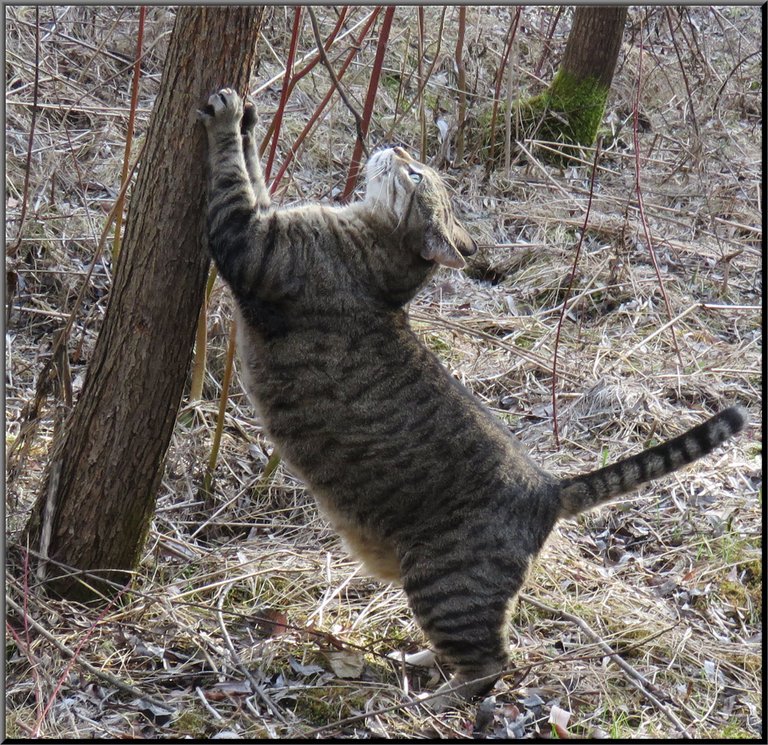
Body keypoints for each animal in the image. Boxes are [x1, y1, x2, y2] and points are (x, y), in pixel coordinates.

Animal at [198, 87, 744, 704]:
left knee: (491, 666)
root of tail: (547, 489)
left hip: (445, 586)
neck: (378, 258)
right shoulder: (266, 226)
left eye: (414, 172)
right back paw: (418, 662)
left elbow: (234, 179)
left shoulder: (252, 246)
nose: (399, 145)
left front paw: (228, 115)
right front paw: (249, 119)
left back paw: (432, 699)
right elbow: (256, 171)